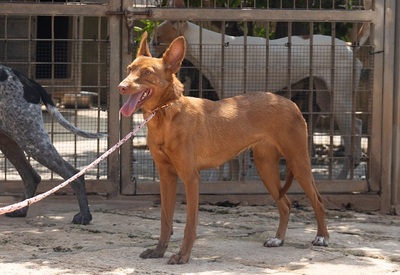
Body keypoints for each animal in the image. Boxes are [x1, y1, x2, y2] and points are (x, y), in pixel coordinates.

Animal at [0, 66, 105, 225]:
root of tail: (26, 79)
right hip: (11, 141)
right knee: (31, 177)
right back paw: (20, 210)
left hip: (31, 139)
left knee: (74, 175)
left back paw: (85, 216)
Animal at [118, 31, 328, 266]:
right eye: (129, 69)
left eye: (147, 72)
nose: (121, 87)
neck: (166, 116)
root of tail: (291, 103)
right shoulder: (166, 176)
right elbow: (165, 220)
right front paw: (158, 250)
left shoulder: (191, 177)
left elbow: (190, 223)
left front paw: (183, 255)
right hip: (266, 168)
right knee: (286, 204)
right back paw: (278, 239)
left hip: (298, 162)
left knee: (318, 201)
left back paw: (321, 237)